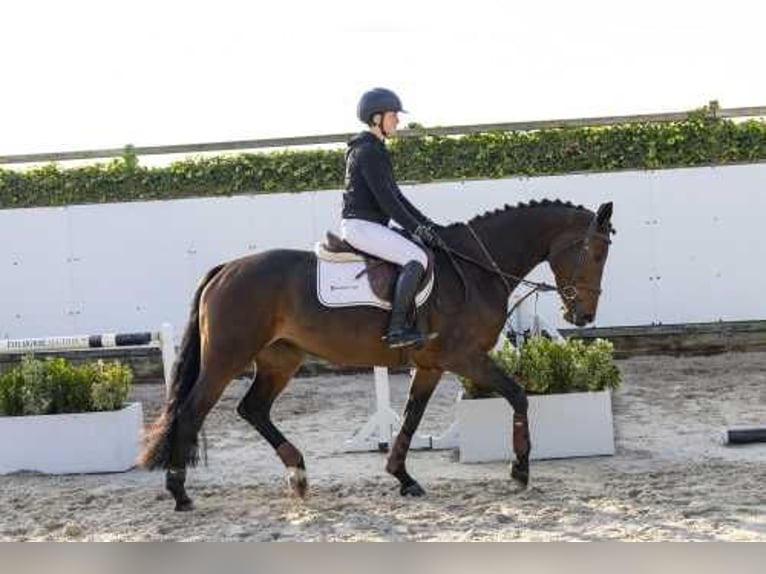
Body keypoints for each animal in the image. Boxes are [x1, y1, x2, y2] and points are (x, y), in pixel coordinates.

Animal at [140, 199, 616, 512]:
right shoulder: (465, 357)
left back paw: (298, 475)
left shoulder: (432, 365)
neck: (476, 268)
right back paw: (180, 493)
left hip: (280, 359)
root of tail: (225, 270)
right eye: (594, 253)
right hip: (227, 356)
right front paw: (519, 470)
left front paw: (402, 477)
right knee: (191, 410)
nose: (583, 316)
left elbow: (411, 418)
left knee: (252, 409)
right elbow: (518, 395)